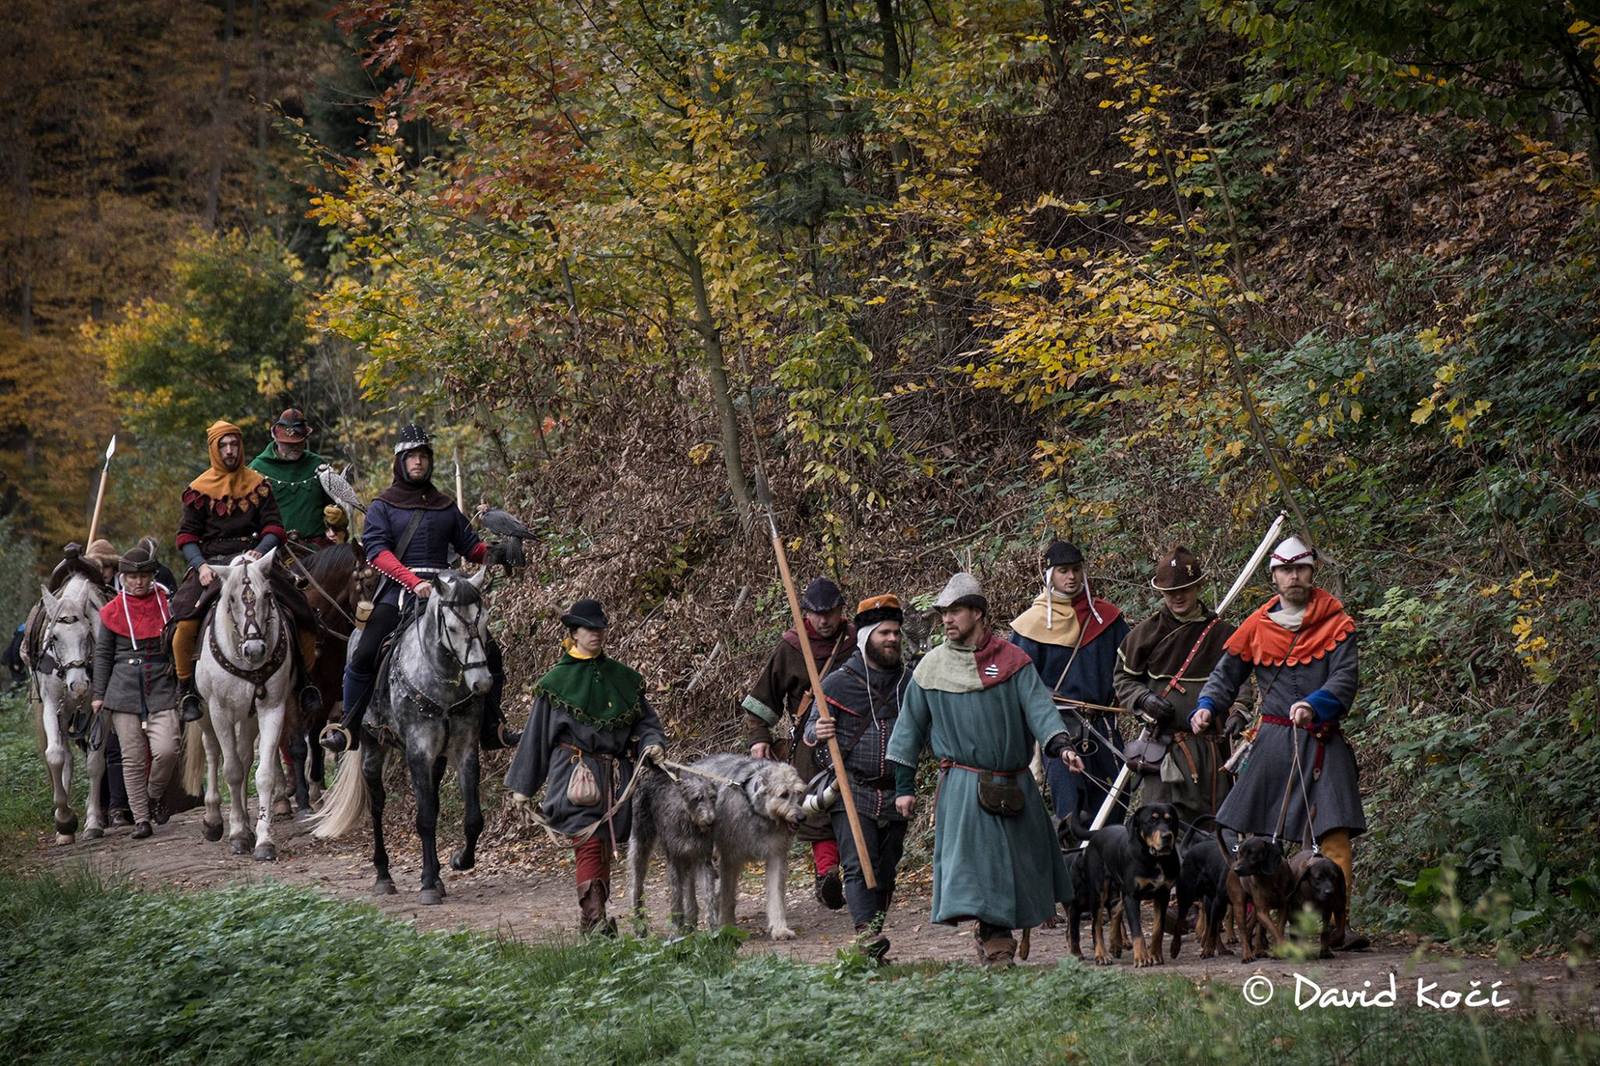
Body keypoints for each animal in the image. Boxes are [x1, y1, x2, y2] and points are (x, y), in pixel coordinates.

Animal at [30, 573, 111, 838]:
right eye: (55, 637)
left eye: (87, 634)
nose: (79, 686)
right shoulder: (52, 705)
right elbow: (55, 756)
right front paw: (64, 820)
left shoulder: (100, 711)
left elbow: (95, 764)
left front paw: (93, 822)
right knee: (65, 755)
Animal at [183, 547, 296, 857]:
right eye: (231, 599)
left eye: (267, 595)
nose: (255, 648)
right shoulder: (219, 711)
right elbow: (231, 771)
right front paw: (236, 834)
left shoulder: (271, 709)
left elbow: (262, 773)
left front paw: (263, 839)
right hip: (205, 714)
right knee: (212, 750)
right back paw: (213, 820)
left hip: (249, 717)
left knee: (244, 757)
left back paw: (246, 823)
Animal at [308, 569, 489, 902]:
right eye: (453, 628)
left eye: (483, 622)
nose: (482, 683)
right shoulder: (418, 752)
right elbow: (425, 818)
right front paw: (428, 882)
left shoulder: (465, 750)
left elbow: (472, 817)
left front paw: (460, 860)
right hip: (371, 746)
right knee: (377, 804)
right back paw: (383, 875)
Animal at [627, 765, 723, 928]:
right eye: (697, 798)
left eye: (713, 797)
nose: (711, 822)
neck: (689, 822)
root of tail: (656, 769)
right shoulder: (674, 859)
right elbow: (676, 898)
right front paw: (676, 930)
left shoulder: (703, 859)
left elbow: (709, 895)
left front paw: (714, 929)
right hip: (641, 842)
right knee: (636, 883)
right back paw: (640, 924)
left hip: (689, 857)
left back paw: (691, 921)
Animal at [1081, 797, 1184, 960]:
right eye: (1151, 821)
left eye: (1170, 820)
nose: (1167, 836)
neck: (1154, 858)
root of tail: (1097, 833)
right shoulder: (1132, 896)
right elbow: (1137, 930)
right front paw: (1142, 958)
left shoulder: (1163, 894)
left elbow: (1158, 929)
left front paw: (1155, 954)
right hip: (1099, 890)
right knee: (1096, 925)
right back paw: (1102, 954)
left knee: (1115, 909)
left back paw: (1115, 944)